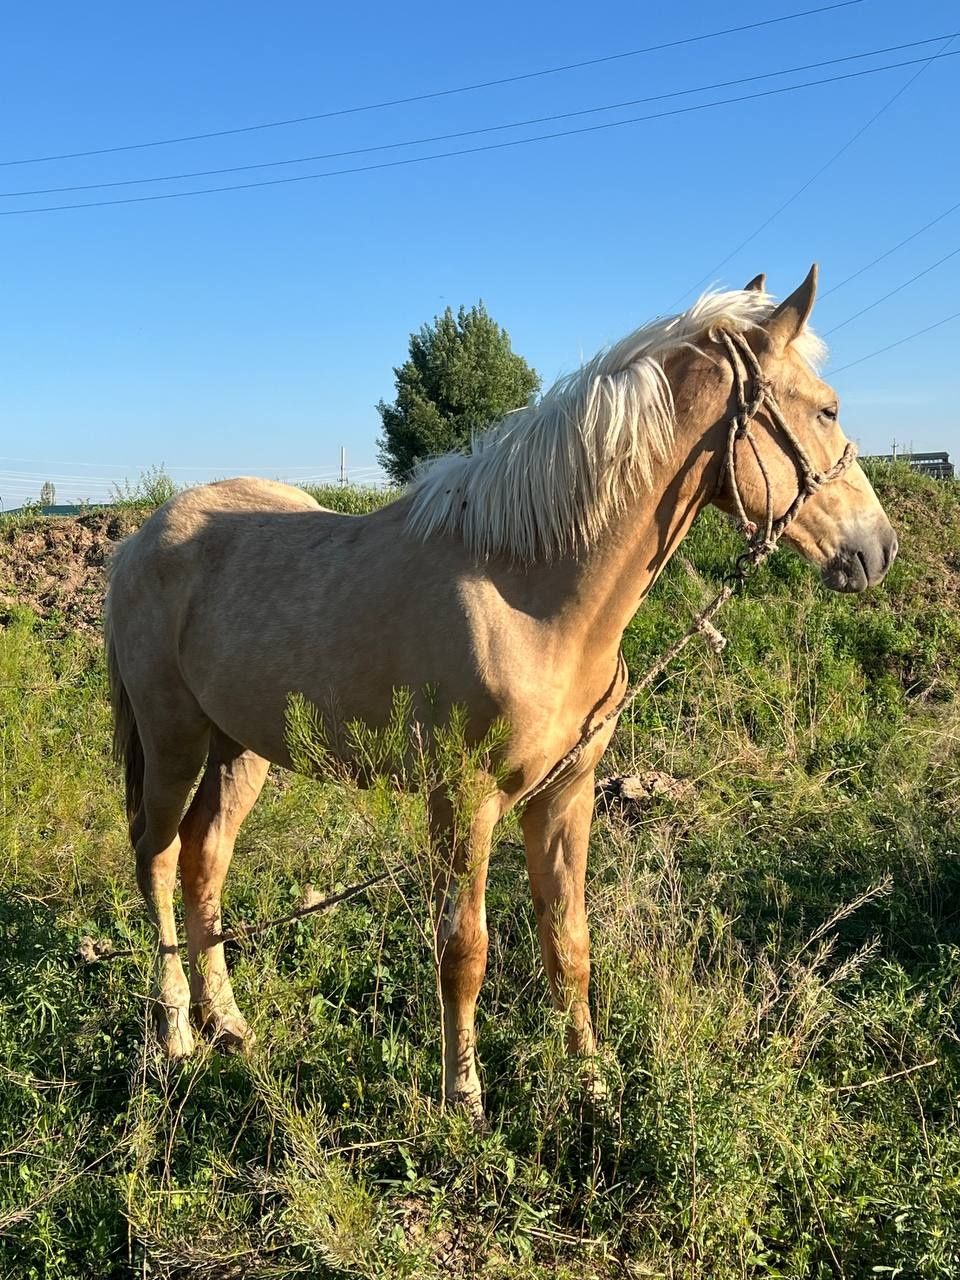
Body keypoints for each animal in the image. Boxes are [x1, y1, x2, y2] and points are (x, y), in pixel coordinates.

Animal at [106, 267, 901, 1121]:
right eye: (827, 408)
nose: (878, 549)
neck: (528, 593)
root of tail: (140, 538)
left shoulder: (566, 793)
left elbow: (570, 943)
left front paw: (592, 1085)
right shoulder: (464, 800)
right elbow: (465, 950)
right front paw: (465, 1098)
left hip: (240, 750)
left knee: (204, 862)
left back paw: (228, 1024)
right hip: (173, 741)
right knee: (157, 860)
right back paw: (176, 1032)